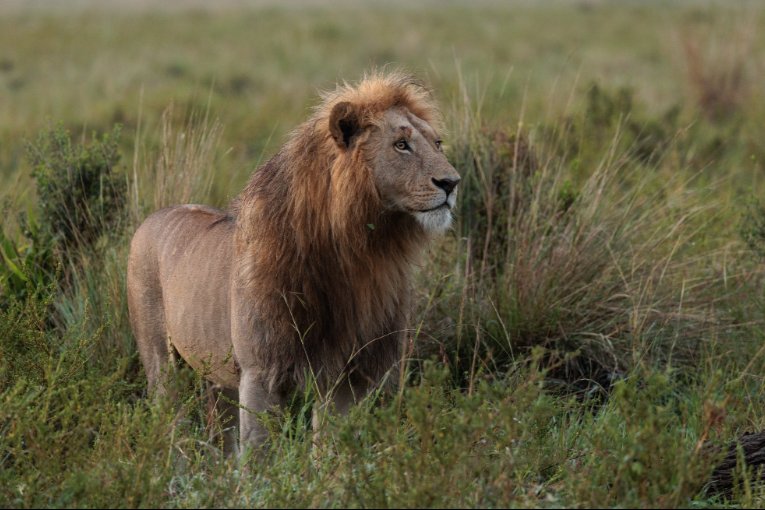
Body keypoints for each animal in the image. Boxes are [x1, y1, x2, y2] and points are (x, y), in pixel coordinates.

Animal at [127, 71, 460, 452]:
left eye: (438, 144)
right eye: (401, 145)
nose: (452, 183)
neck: (359, 254)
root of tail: (152, 217)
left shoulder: (346, 377)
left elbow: (332, 450)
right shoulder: (261, 374)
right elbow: (258, 455)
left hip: (219, 377)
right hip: (163, 366)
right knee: (172, 424)